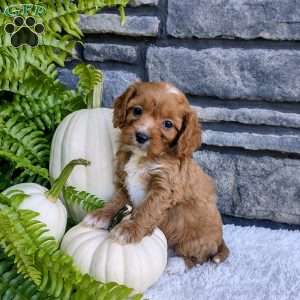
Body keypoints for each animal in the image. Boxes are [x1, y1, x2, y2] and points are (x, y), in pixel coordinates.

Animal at [85, 82, 230, 268]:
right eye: (137, 110)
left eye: (168, 124)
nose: (141, 136)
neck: (144, 157)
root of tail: (220, 240)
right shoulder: (125, 181)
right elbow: (116, 200)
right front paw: (101, 215)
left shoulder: (164, 188)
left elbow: (147, 210)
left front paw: (129, 229)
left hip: (194, 240)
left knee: (198, 257)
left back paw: (177, 264)